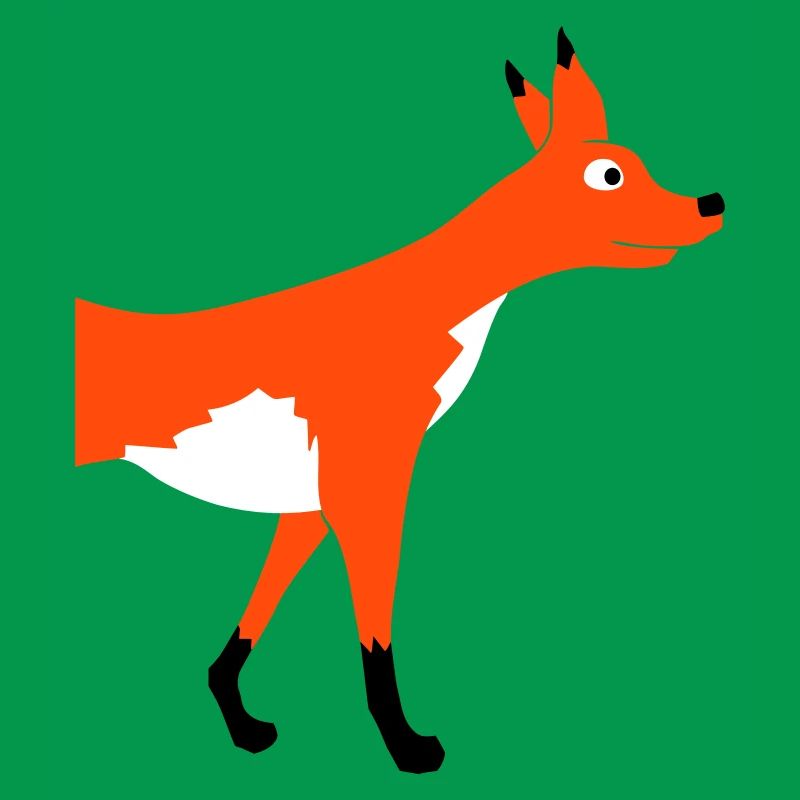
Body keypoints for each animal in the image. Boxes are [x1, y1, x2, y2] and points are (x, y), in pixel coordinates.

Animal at [74, 29, 724, 773]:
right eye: (610, 175)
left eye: (642, 166)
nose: (710, 202)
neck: (419, 308)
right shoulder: (369, 491)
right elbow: (375, 638)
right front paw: (405, 746)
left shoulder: (311, 504)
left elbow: (250, 623)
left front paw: (238, 719)